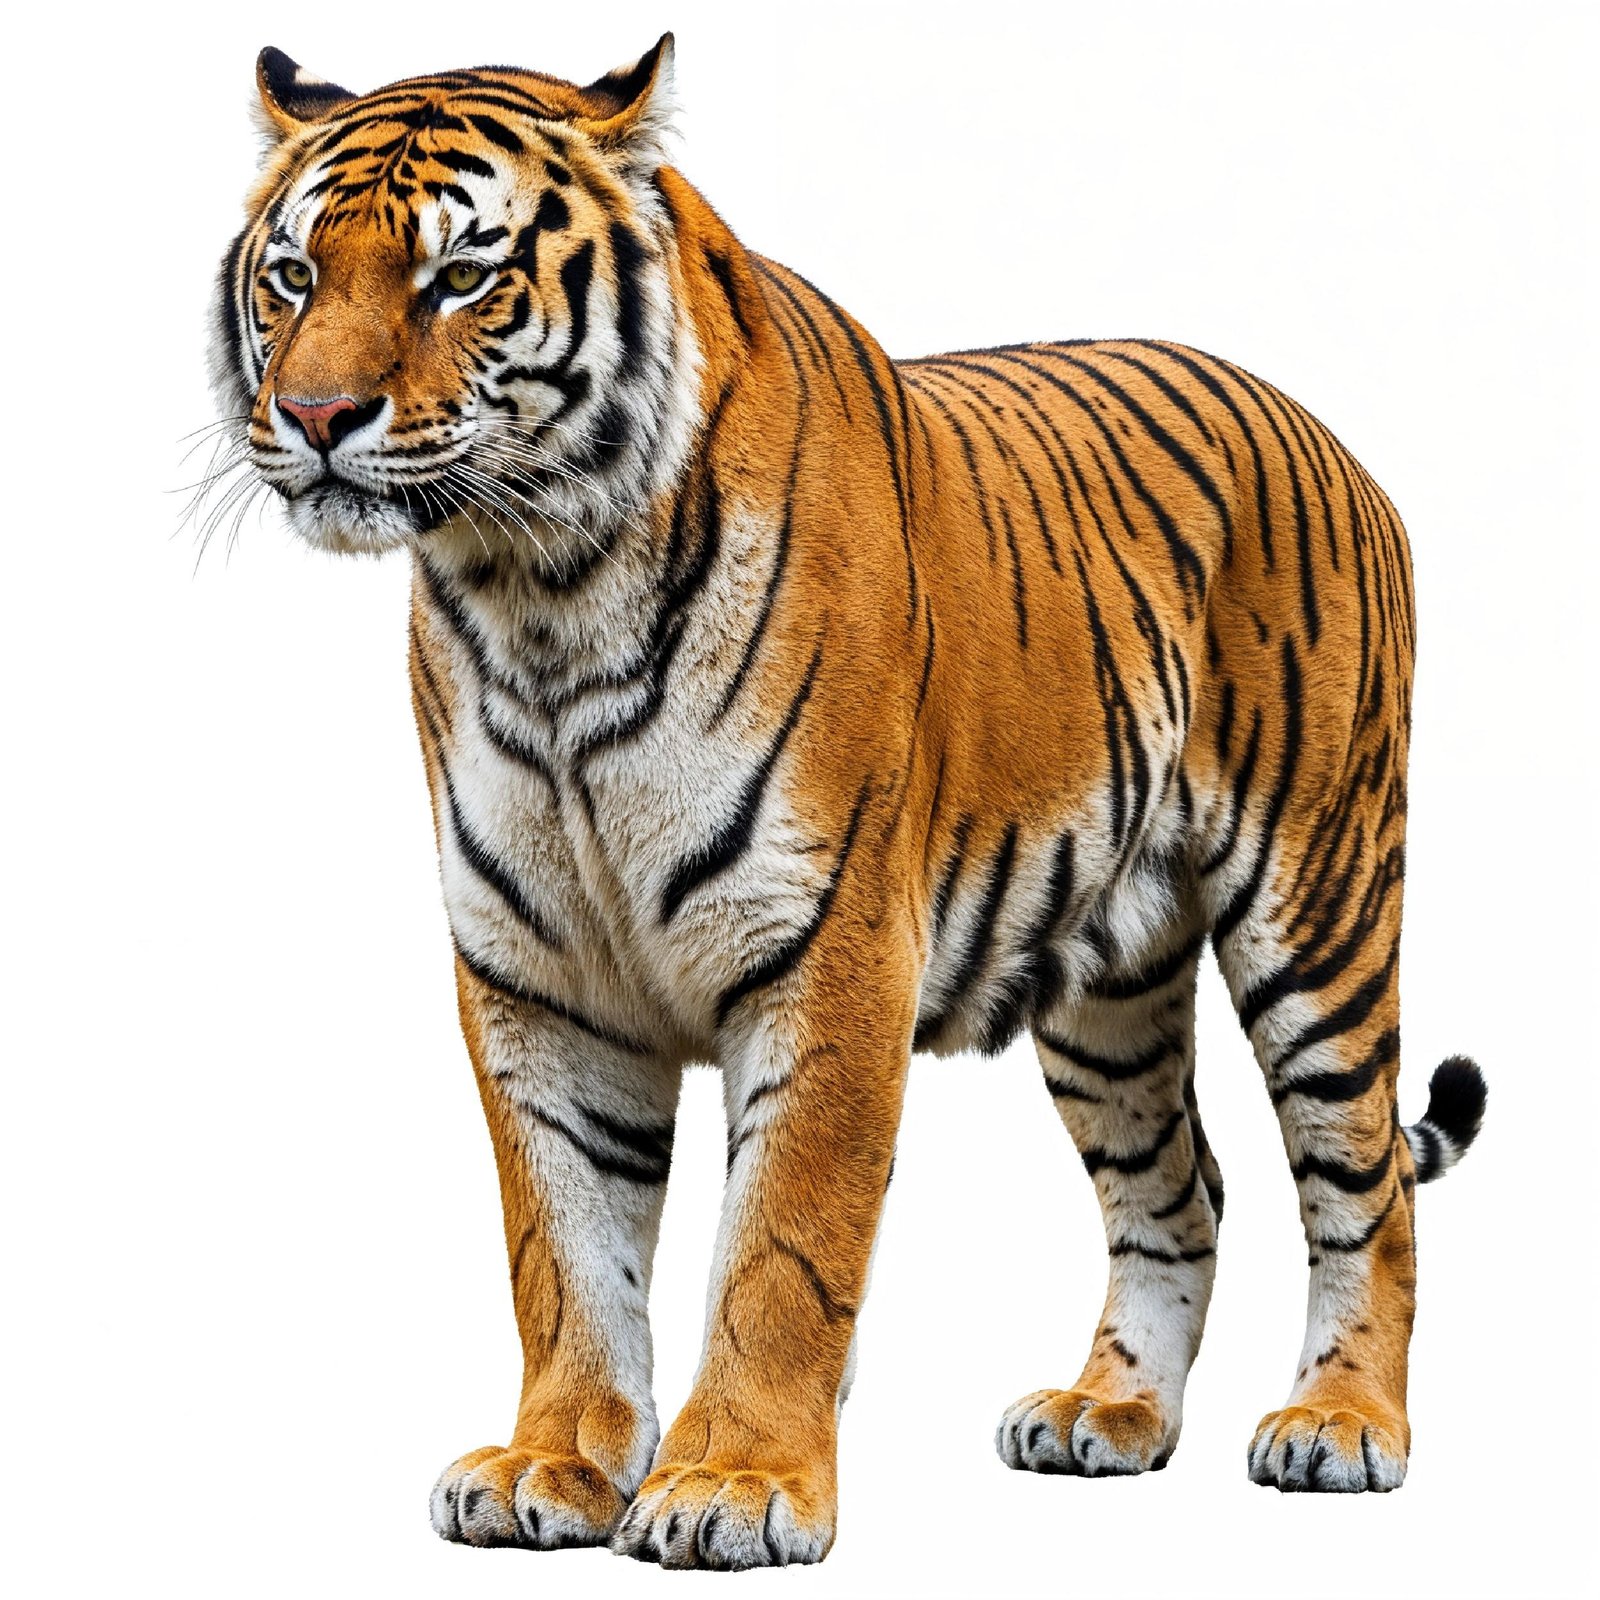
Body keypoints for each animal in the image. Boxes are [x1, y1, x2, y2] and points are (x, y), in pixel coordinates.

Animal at [207, 33, 1488, 1569]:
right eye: (293, 274)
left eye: (460, 274)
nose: (315, 418)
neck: (539, 596)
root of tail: (1325, 432)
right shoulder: (536, 979)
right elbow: (562, 1250)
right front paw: (551, 1465)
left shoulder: (826, 949)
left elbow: (781, 1245)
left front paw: (736, 1484)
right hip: (1108, 986)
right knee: (1183, 1191)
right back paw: (1109, 1415)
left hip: (1319, 904)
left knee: (1364, 1182)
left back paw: (1341, 1425)